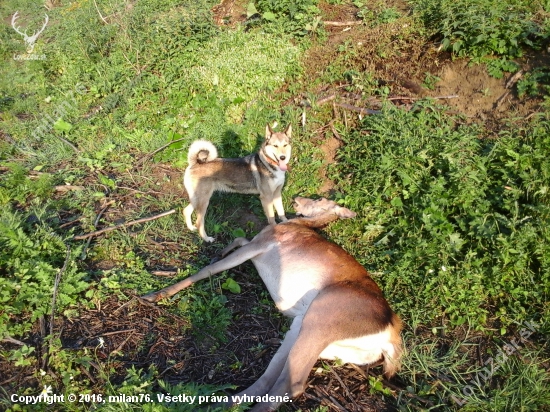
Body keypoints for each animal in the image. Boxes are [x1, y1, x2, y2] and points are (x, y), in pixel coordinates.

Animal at [142, 198, 404, 410]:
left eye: (320, 199)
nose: (297, 198)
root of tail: (392, 334)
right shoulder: (256, 246)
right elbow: (238, 238)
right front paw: (221, 249)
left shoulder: (260, 245)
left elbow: (208, 269)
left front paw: (156, 294)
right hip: (307, 331)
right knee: (271, 380)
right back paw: (220, 403)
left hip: (321, 322)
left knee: (291, 384)